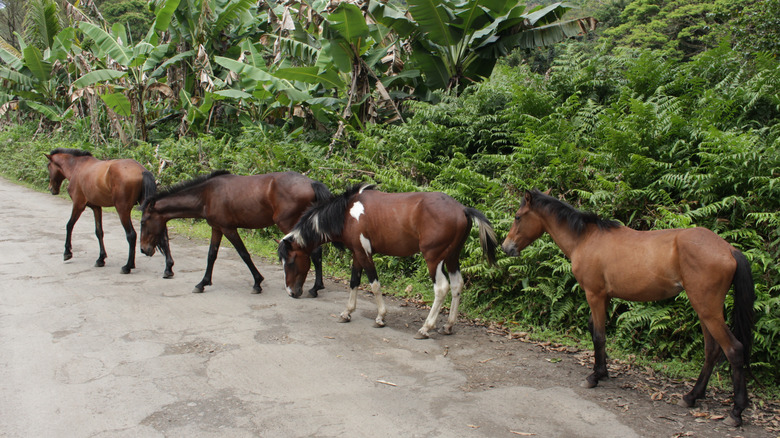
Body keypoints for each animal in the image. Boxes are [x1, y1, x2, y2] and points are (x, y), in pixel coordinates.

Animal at [45, 147, 173, 278]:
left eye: (48, 166)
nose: (51, 189)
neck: (77, 167)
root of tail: (142, 170)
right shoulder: (96, 207)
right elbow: (99, 232)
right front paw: (101, 259)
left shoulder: (78, 205)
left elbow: (69, 225)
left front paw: (67, 252)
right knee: (163, 236)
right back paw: (168, 268)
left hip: (122, 210)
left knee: (131, 235)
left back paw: (128, 266)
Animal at [139, 169, 332, 296]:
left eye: (143, 221)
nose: (143, 249)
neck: (206, 195)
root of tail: (311, 183)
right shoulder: (216, 228)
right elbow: (211, 255)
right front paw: (203, 283)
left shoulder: (228, 228)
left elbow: (243, 253)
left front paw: (257, 282)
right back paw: (316, 287)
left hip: (289, 224)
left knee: (314, 252)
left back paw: (315, 288)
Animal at [278, 183, 500, 340]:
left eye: (290, 261)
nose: (291, 292)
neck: (346, 213)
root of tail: (463, 209)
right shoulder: (357, 253)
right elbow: (354, 282)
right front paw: (347, 313)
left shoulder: (365, 254)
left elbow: (374, 285)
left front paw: (380, 317)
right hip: (452, 257)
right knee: (456, 285)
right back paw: (448, 325)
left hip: (434, 258)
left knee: (441, 288)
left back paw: (425, 328)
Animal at [500, 189, 756, 428]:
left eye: (518, 216)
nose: (505, 247)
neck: (586, 238)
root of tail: (728, 249)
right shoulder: (604, 297)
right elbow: (597, 332)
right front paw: (603, 371)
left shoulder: (594, 295)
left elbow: (598, 336)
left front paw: (594, 377)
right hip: (704, 311)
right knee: (712, 350)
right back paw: (692, 396)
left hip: (708, 311)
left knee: (734, 350)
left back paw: (736, 412)